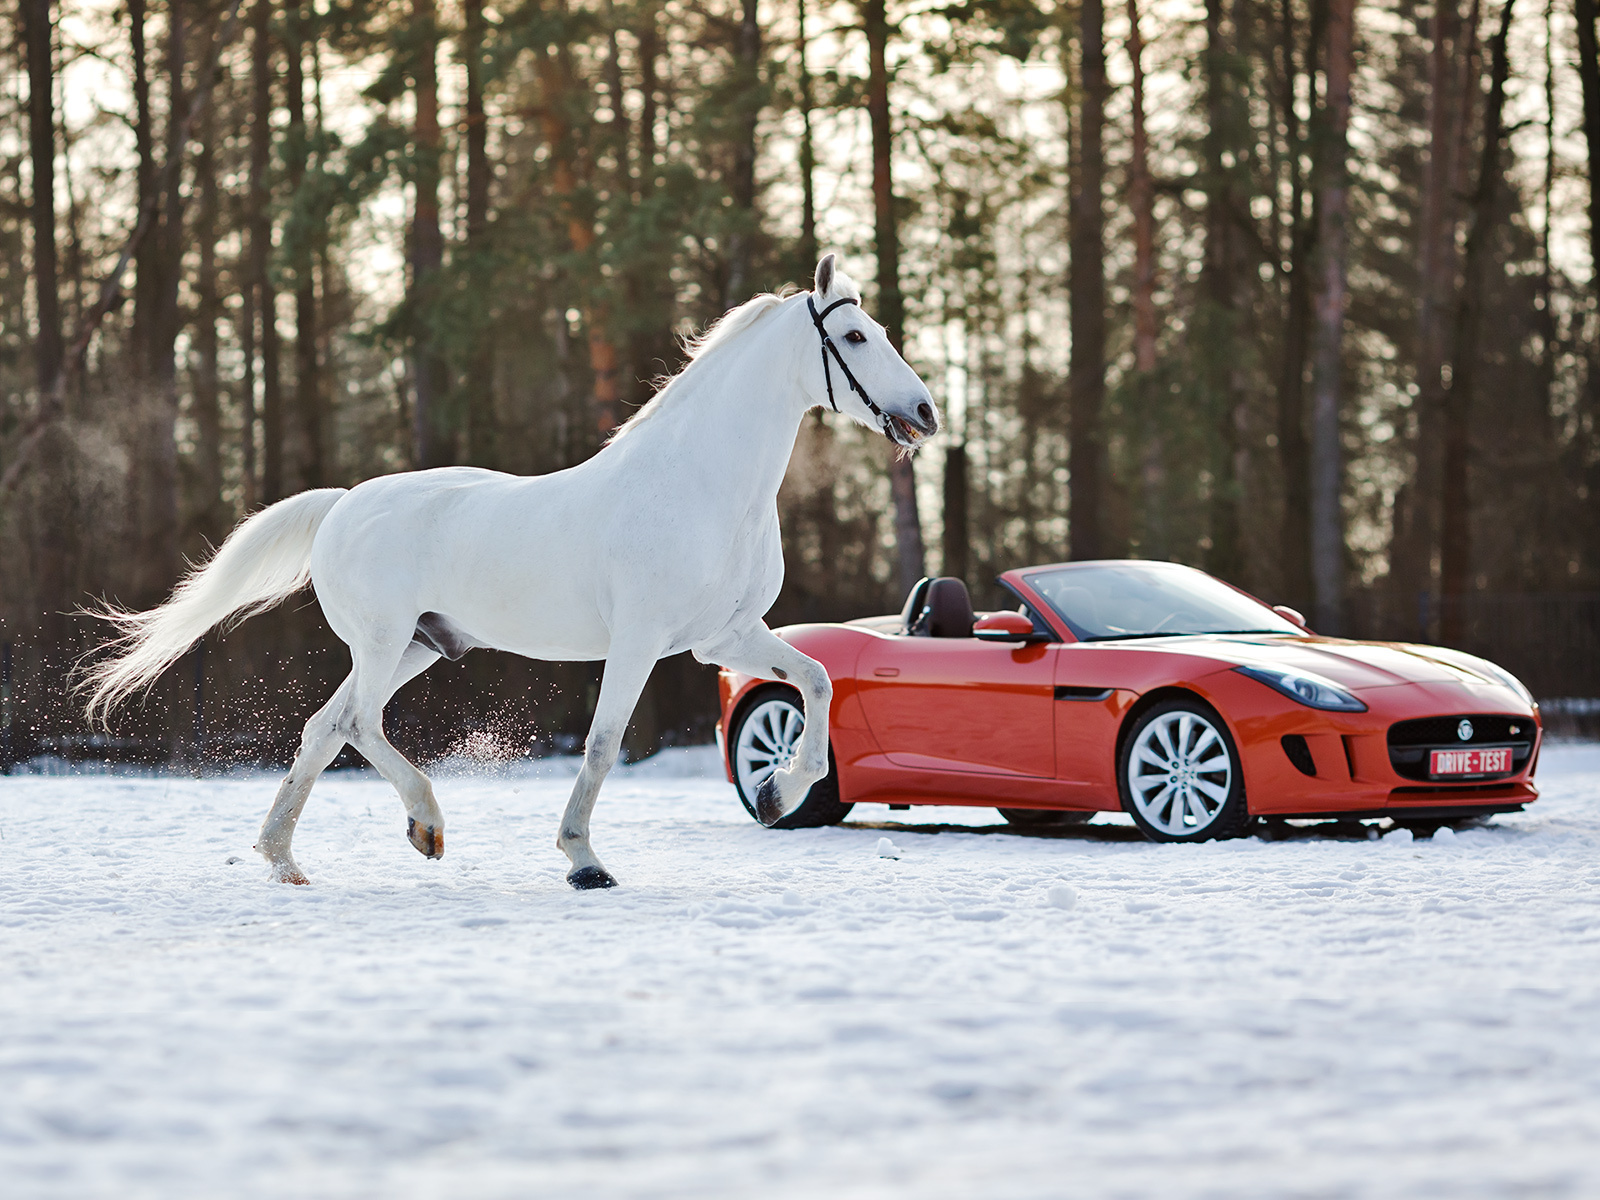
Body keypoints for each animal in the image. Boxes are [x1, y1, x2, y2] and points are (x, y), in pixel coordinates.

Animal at [84, 256, 934, 896]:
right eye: (854, 335)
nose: (925, 412)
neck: (699, 485)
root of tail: (343, 504)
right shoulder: (640, 643)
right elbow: (602, 743)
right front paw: (584, 861)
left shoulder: (723, 637)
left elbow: (816, 680)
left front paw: (778, 790)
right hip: (383, 643)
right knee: (358, 725)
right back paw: (425, 825)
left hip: (414, 648)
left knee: (324, 729)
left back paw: (285, 859)